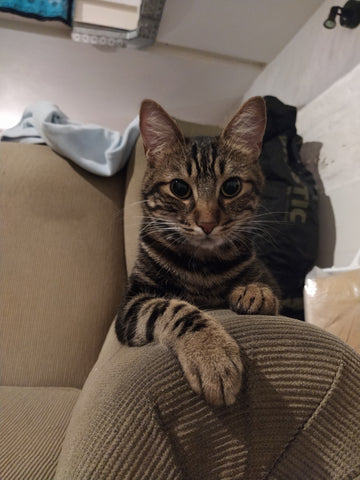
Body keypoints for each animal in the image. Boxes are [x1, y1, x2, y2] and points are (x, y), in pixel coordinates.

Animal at [114, 96, 278, 404]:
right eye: (179, 188)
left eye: (232, 186)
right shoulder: (132, 305)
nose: (207, 223)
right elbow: (172, 308)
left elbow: (266, 286)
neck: (203, 264)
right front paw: (211, 355)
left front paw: (254, 292)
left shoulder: (264, 272)